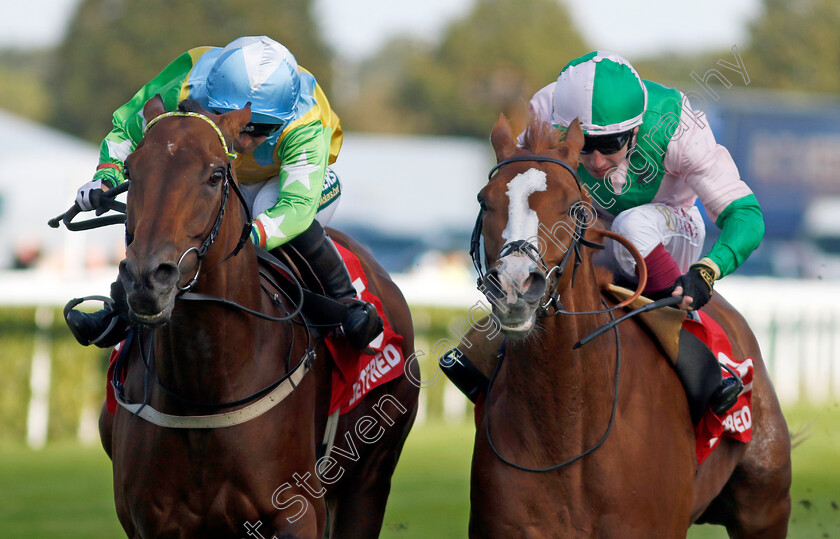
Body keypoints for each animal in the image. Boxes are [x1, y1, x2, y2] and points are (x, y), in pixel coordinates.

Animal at [98, 98, 420, 539]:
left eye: (216, 174)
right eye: (131, 170)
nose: (148, 279)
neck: (205, 390)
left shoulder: (299, 512)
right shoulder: (150, 521)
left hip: (369, 480)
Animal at [470, 115, 792, 539]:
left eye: (576, 208)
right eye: (483, 200)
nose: (514, 285)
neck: (565, 436)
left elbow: (738, 204)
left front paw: (695, 284)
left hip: (766, 506)